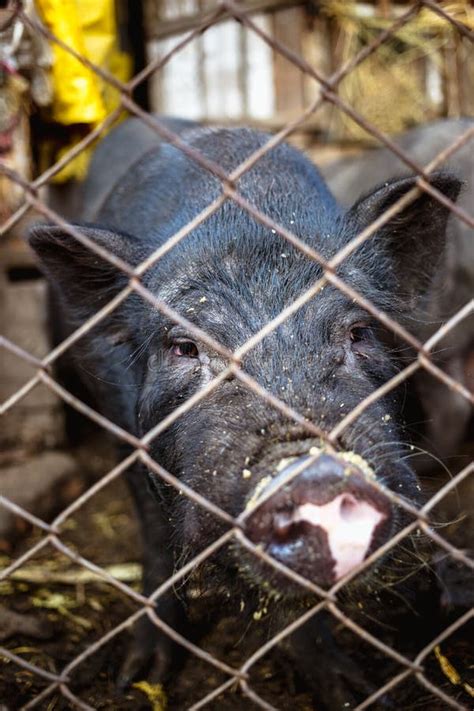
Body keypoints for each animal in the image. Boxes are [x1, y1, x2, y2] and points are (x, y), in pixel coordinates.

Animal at [28, 119, 460, 704]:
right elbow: (156, 537)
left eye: (358, 332)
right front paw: (139, 677)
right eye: (184, 347)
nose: (317, 476)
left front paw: (353, 691)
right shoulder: (124, 429)